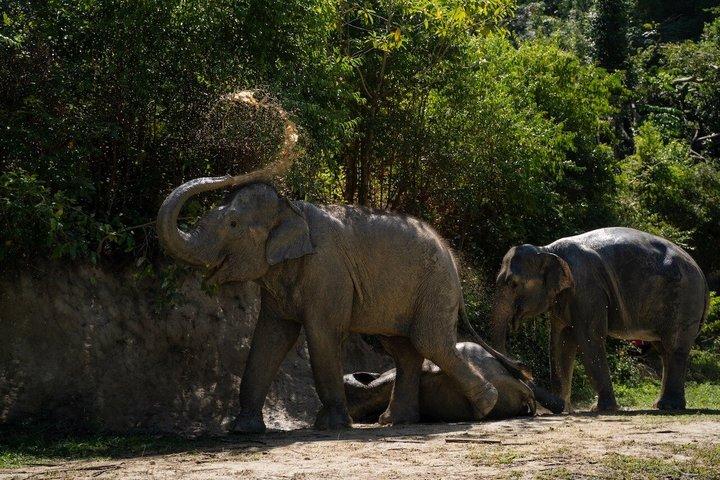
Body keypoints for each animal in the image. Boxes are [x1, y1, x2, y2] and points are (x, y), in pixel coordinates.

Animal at [156, 91, 529, 432]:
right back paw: (395, 421)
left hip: (435, 284)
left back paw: (485, 406)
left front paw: (330, 424)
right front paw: (243, 428)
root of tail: (450, 254)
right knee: (403, 348)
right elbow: (269, 336)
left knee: (430, 341)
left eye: (232, 224)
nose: (241, 100)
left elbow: (322, 333)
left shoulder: (326, 269)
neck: (291, 208)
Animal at [489, 227, 709, 412]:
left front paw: (601, 409)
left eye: (514, 284)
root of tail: (702, 274)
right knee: (663, 350)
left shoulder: (587, 288)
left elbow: (589, 339)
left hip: (684, 299)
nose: (523, 366)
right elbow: (560, 342)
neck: (548, 250)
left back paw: (669, 407)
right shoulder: (565, 297)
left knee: (674, 347)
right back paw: (661, 405)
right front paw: (563, 409)